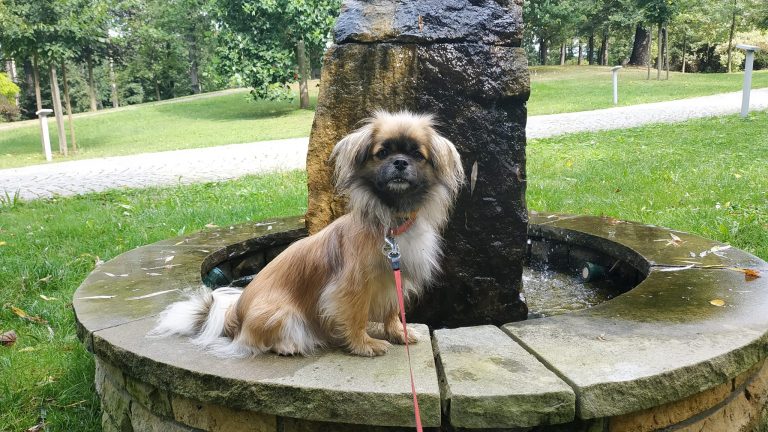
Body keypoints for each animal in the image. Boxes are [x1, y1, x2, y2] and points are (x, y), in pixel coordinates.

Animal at [149, 111, 462, 358]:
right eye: (383, 153)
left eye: (417, 155)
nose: (400, 162)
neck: (391, 224)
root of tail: (235, 316)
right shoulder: (350, 287)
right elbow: (356, 316)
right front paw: (364, 345)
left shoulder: (394, 278)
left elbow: (392, 311)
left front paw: (398, 333)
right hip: (280, 313)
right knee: (255, 341)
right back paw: (288, 346)